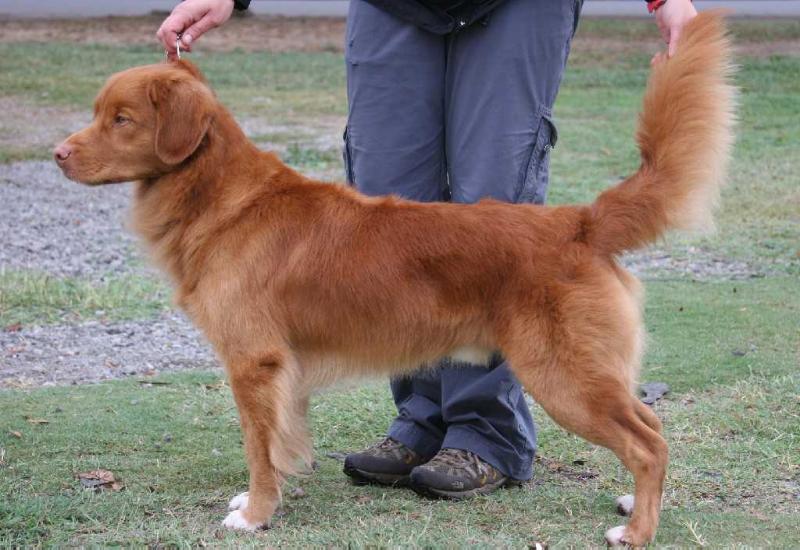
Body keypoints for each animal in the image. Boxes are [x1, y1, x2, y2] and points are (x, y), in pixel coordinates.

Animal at [53, 12, 736, 548]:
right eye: (98, 114)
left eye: (121, 119)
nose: (58, 154)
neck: (219, 197)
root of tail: (580, 221)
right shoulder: (281, 372)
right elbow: (281, 442)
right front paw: (267, 499)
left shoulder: (252, 362)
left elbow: (257, 449)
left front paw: (256, 514)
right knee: (653, 430)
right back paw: (635, 505)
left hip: (564, 376)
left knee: (648, 443)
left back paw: (638, 531)